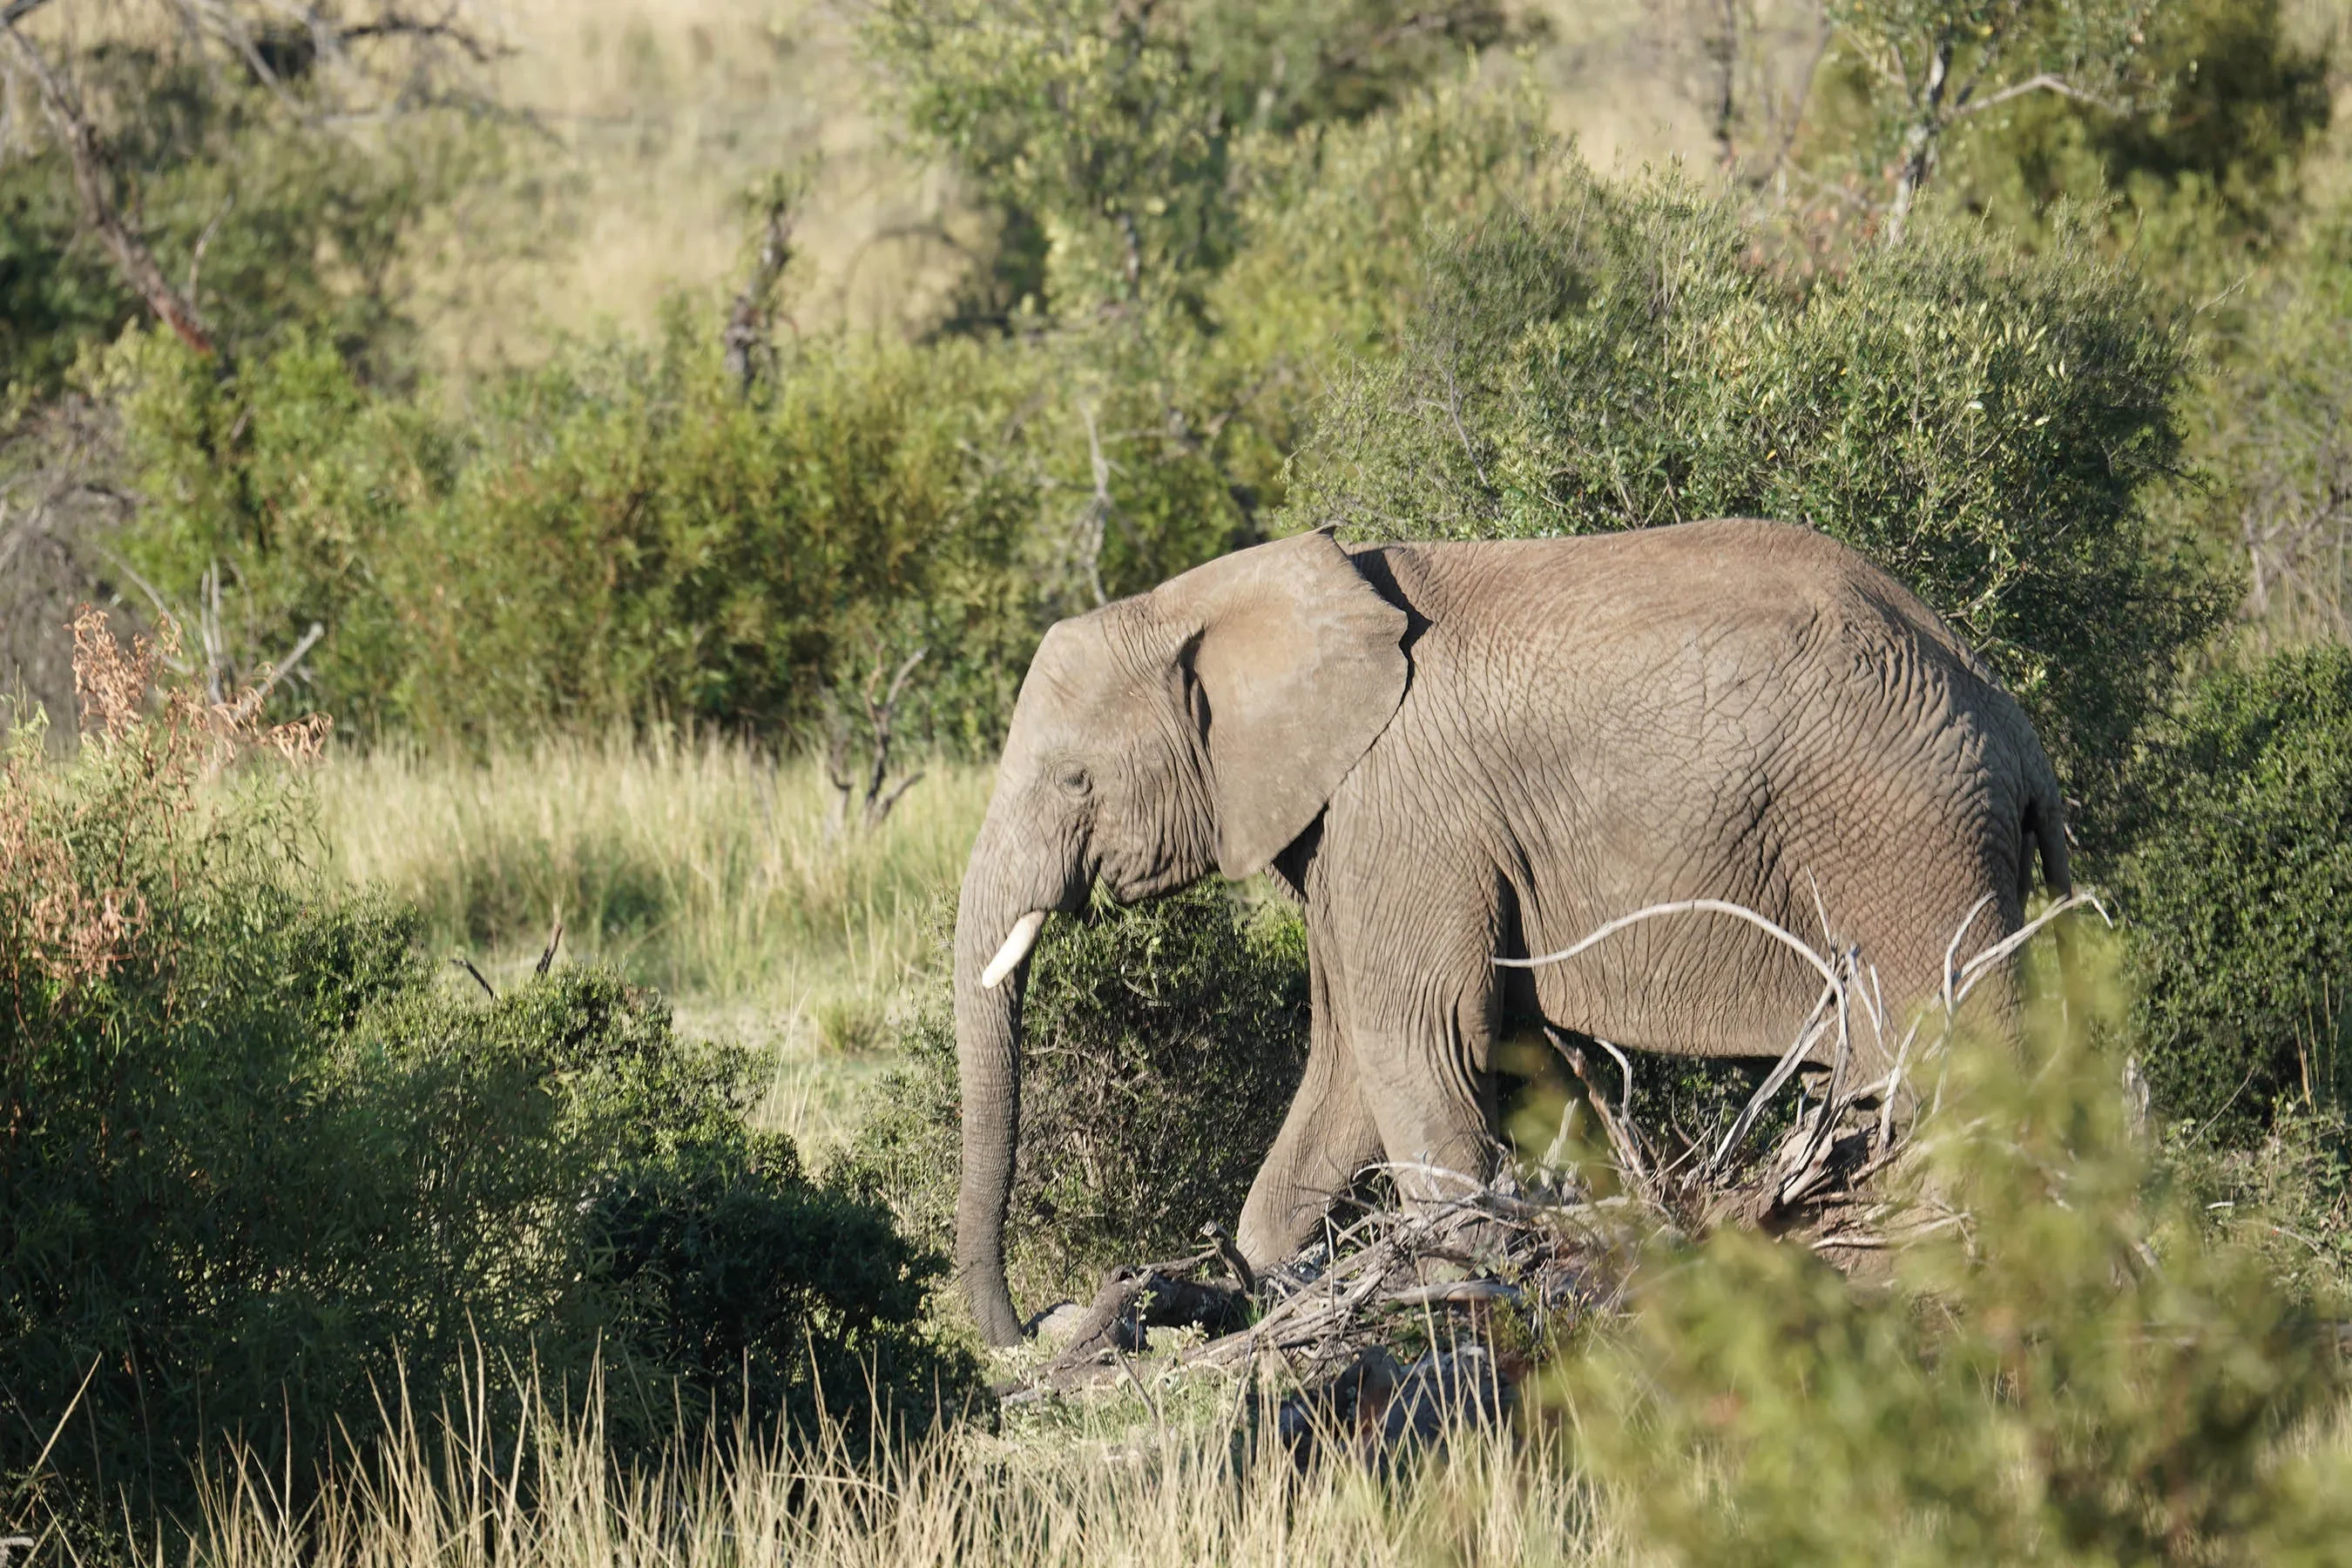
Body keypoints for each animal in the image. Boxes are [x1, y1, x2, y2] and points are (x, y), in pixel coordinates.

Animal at [951, 518, 2070, 1345]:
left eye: (1076, 780)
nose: (1044, 1321)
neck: (1214, 598)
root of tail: (2018, 729)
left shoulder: (1405, 802)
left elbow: (1414, 1037)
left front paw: (1461, 1285)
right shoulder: (1351, 820)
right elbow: (1355, 1057)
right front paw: (1273, 1274)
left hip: (1904, 837)